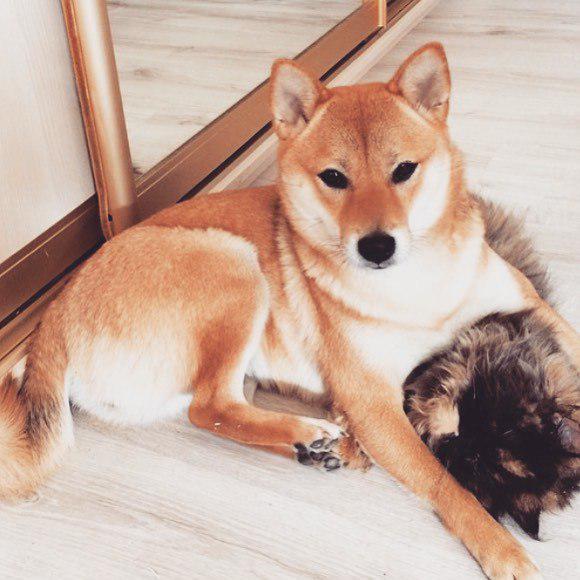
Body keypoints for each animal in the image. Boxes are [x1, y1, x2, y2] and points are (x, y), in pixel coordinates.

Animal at [2, 43, 578, 578]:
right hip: (233, 267)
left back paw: (318, 443)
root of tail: (55, 312)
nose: (376, 246)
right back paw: (309, 434)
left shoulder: (529, 303)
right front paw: (499, 547)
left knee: (227, 408)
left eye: (404, 171)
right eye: (334, 178)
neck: (417, 284)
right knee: (210, 408)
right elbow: (445, 482)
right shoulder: (372, 398)